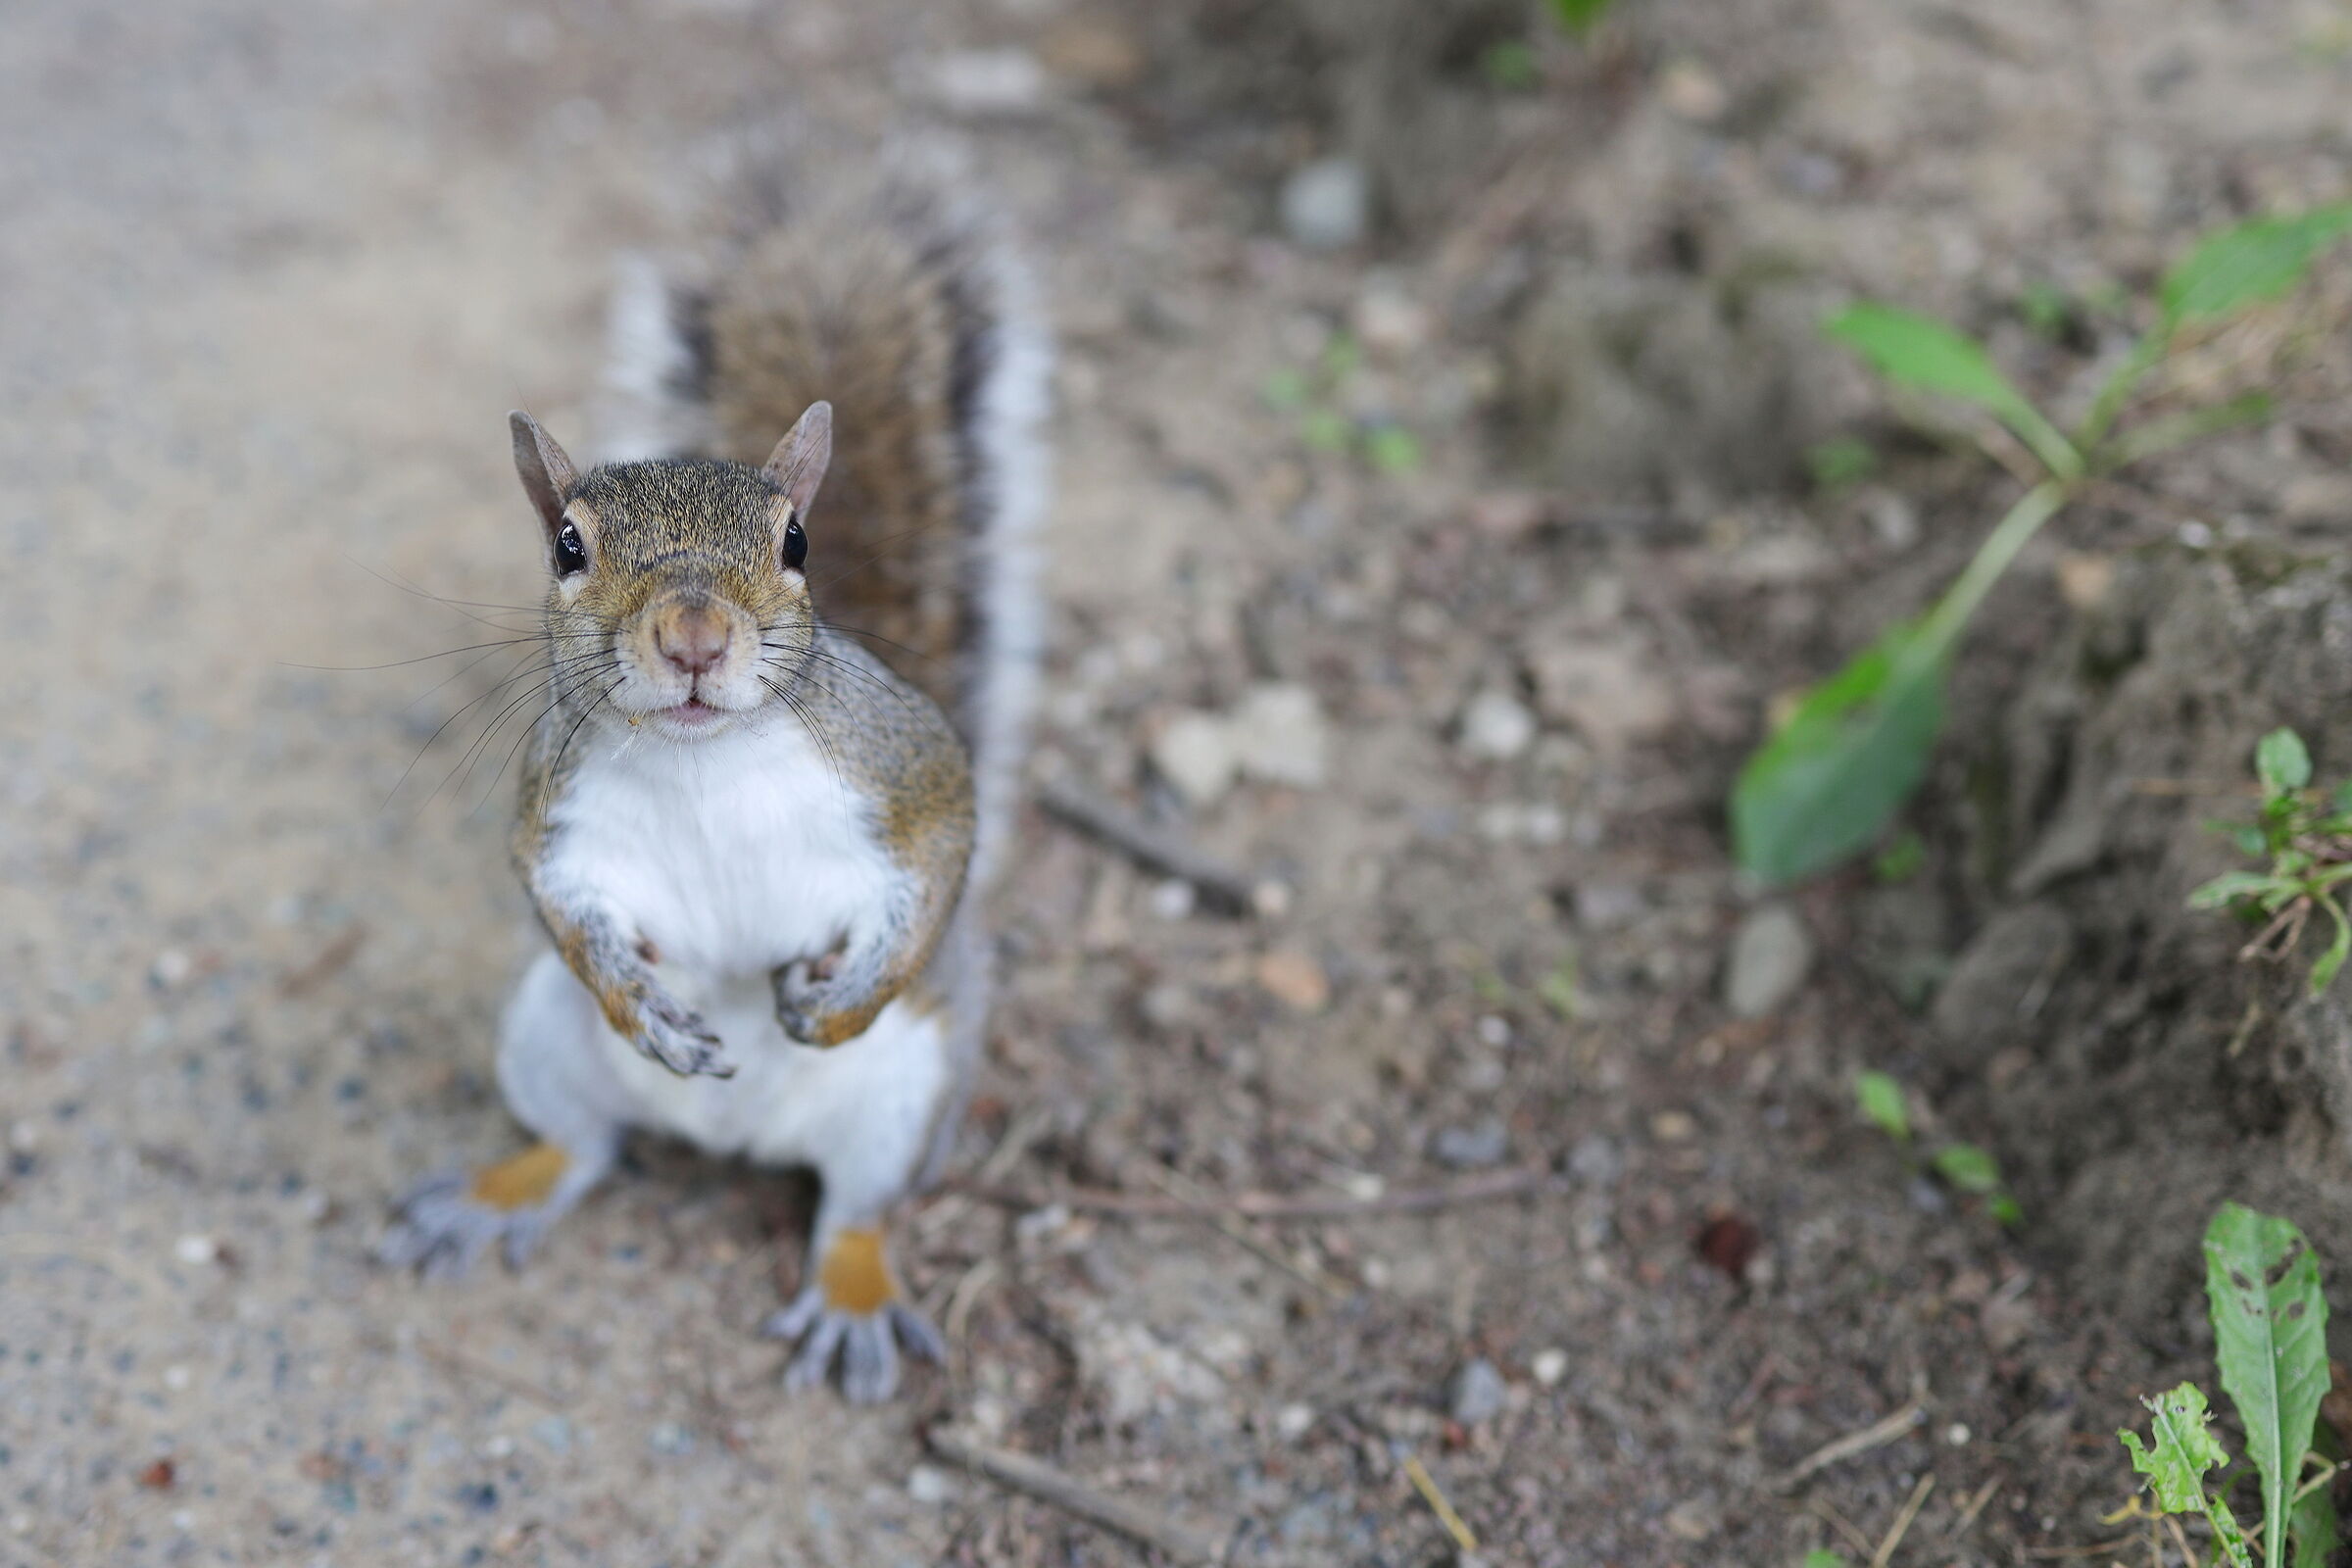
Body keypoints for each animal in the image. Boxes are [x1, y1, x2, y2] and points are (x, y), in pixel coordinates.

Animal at [379, 143, 1050, 1404]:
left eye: (796, 541)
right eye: (567, 547)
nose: (694, 636)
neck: (703, 764)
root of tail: (734, 1140)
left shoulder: (905, 764)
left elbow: (945, 850)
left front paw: (840, 1002)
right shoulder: (555, 816)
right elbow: (559, 903)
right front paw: (642, 1005)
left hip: (909, 1097)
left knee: (854, 1212)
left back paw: (852, 1297)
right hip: (539, 1037)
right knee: (582, 1143)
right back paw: (499, 1195)